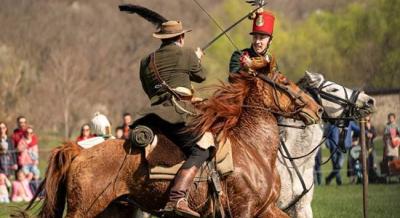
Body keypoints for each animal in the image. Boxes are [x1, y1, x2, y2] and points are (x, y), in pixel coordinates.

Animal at [25, 71, 320, 216]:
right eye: (285, 82)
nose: (316, 109)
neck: (252, 147)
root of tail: (80, 151)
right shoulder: (244, 211)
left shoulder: (266, 210)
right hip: (85, 209)